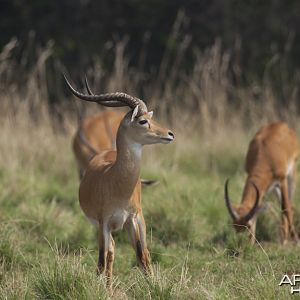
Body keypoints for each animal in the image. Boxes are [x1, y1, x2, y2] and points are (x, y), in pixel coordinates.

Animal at [64, 74, 175, 288]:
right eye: (142, 120)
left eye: (150, 118)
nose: (170, 134)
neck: (116, 182)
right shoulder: (104, 223)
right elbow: (102, 260)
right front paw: (104, 290)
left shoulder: (133, 219)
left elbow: (142, 257)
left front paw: (153, 288)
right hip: (104, 228)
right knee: (110, 252)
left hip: (138, 221)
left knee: (142, 254)